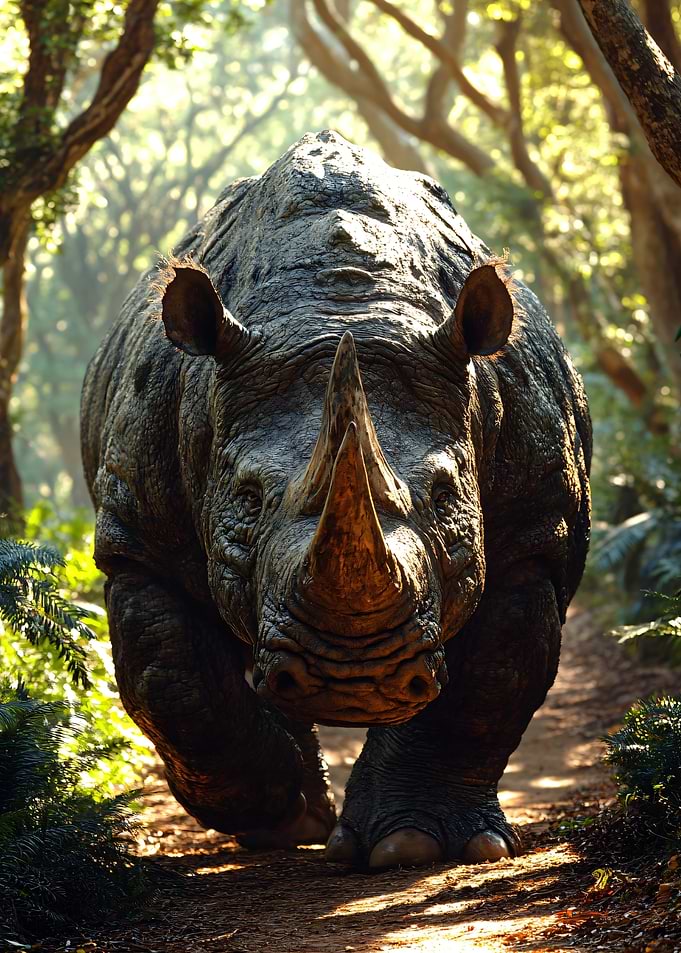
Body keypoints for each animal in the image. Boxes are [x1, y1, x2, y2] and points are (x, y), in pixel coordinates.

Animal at [81, 131, 591, 870]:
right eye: (246, 498)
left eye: (446, 496)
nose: (353, 679)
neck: (335, 306)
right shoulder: (138, 536)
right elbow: (171, 680)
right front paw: (289, 817)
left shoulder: (535, 523)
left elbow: (494, 674)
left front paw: (412, 845)